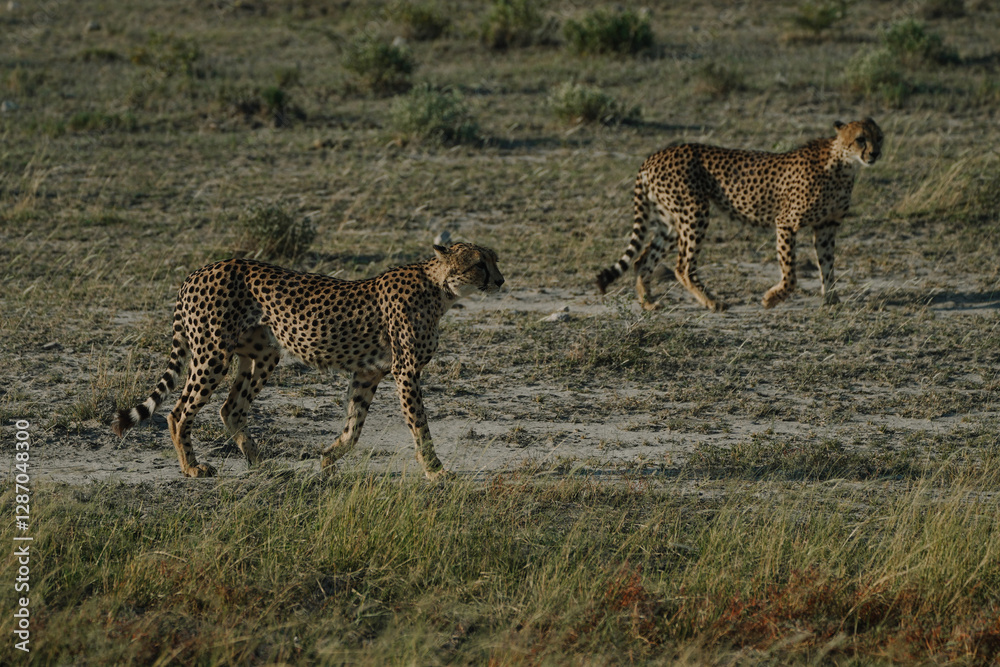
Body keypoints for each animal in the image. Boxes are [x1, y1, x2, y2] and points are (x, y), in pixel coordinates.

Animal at [111, 243, 505, 480]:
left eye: (494, 260)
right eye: (478, 264)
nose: (501, 281)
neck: (440, 290)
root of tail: (199, 270)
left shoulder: (368, 372)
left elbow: (354, 425)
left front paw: (329, 457)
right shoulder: (405, 371)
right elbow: (419, 426)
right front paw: (436, 469)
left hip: (264, 353)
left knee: (231, 408)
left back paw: (261, 462)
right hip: (212, 354)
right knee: (178, 412)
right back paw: (192, 467)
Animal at [595, 118, 884, 312]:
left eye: (879, 137)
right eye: (860, 139)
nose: (875, 153)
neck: (843, 164)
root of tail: (656, 154)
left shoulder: (826, 226)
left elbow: (827, 265)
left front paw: (833, 300)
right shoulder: (786, 222)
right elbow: (790, 273)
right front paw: (772, 298)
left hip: (670, 221)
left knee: (641, 259)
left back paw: (648, 303)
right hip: (694, 213)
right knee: (682, 266)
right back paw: (712, 301)